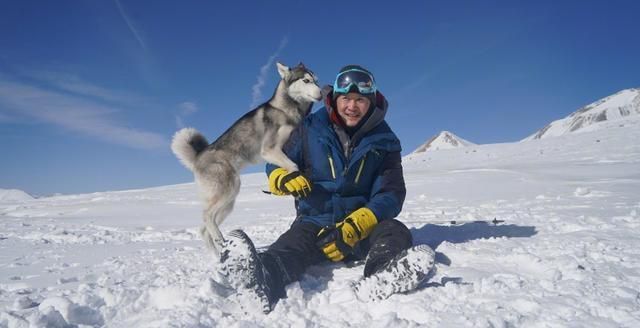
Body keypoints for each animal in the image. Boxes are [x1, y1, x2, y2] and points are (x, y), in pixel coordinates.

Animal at [171, 62, 322, 255]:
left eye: (316, 80)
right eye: (306, 80)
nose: (322, 93)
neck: (285, 109)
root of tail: (199, 156)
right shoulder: (269, 150)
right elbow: (294, 166)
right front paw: (296, 180)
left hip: (228, 202)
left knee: (204, 228)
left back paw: (217, 255)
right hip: (228, 190)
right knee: (207, 217)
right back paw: (221, 240)